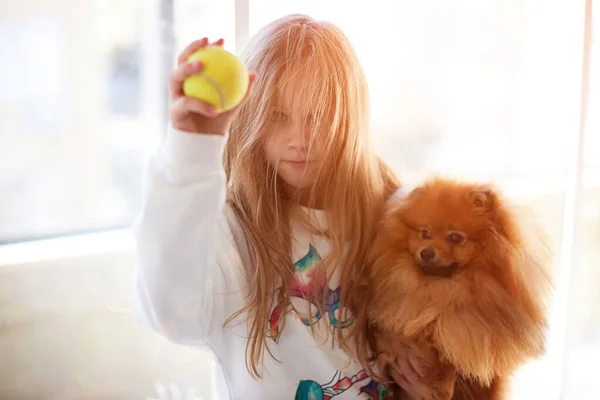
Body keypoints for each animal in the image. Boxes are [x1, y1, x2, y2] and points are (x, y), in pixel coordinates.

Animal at [356, 178, 552, 400]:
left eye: (456, 238)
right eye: (425, 233)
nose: (426, 252)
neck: (444, 292)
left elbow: (453, 354)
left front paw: (441, 382)